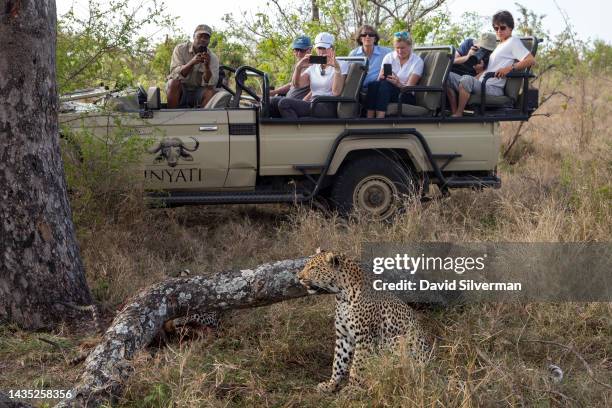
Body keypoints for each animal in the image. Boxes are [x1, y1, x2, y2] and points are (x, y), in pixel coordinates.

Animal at [296, 249, 430, 392]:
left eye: (313, 268)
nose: (298, 277)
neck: (342, 295)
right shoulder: (344, 336)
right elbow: (338, 362)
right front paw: (331, 385)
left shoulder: (364, 337)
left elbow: (357, 365)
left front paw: (352, 388)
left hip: (398, 340)